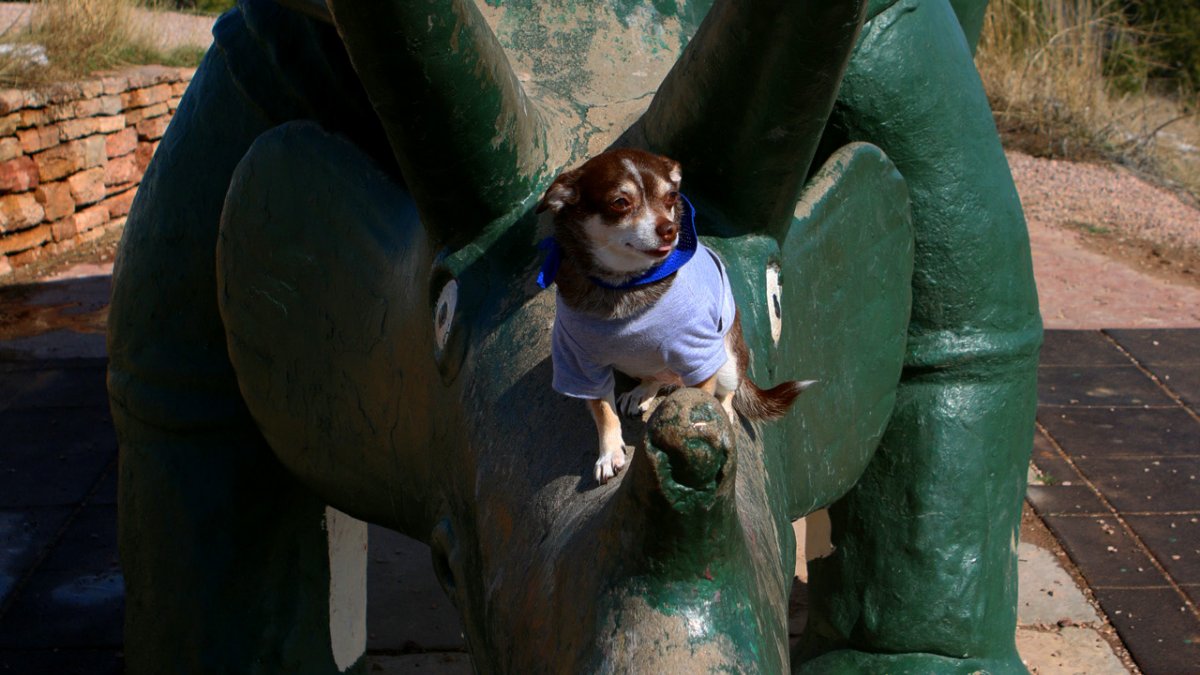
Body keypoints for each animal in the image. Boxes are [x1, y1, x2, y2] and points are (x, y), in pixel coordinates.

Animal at [537, 148, 811, 480]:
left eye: (671, 196)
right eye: (620, 202)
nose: (670, 228)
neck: (626, 286)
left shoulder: (697, 354)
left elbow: (700, 398)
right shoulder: (580, 363)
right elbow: (603, 411)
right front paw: (609, 453)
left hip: (728, 360)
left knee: (725, 390)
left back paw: (724, 409)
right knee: (658, 377)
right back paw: (643, 392)